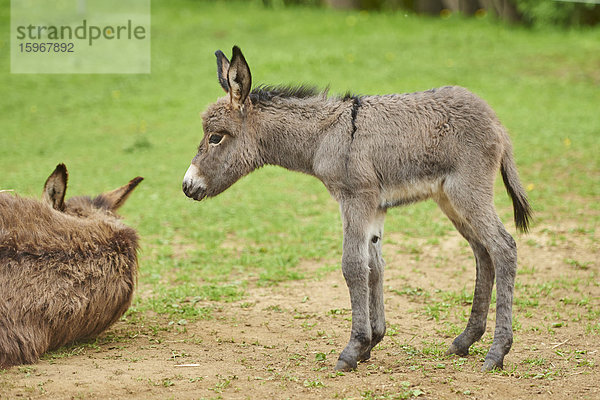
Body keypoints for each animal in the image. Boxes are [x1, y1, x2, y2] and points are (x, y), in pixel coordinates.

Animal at [183, 47, 528, 372]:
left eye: (215, 138)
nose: (187, 186)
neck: (324, 137)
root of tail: (496, 121)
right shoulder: (374, 207)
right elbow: (374, 266)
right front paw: (372, 341)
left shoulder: (355, 199)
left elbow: (352, 265)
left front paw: (353, 349)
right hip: (450, 200)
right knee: (483, 253)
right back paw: (465, 340)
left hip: (468, 192)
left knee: (503, 247)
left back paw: (497, 351)